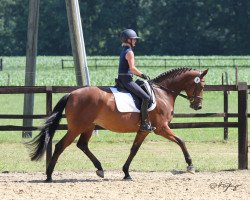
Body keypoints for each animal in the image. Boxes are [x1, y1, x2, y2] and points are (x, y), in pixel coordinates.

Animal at [27, 67, 208, 181]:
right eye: (201, 85)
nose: (198, 106)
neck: (162, 93)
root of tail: (71, 94)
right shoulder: (162, 128)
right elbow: (181, 141)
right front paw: (190, 165)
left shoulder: (144, 130)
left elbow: (134, 150)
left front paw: (126, 173)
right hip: (77, 127)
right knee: (61, 146)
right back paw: (49, 175)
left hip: (88, 126)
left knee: (82, 145)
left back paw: (100, 169)